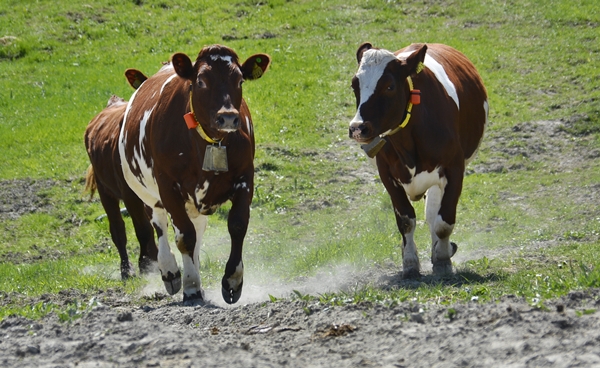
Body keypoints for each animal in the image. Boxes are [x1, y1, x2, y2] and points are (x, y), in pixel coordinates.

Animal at [119, 44, 270, 304]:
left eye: (240, 80)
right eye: (201, 81)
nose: (228, 116)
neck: (209, 141)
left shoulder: (245, 177)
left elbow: (237, 224)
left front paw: (232, 281)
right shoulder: (167, 186)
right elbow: (184, 236)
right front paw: (190, 287)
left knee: (197, 232)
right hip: (148, 195)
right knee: (161, 227)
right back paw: (170, 272)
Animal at [350, 43, 490, 278]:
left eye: (389, 86)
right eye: (354, 85)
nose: (358, 128)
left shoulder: (454, 169)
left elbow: (443, 221)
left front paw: (442, 259)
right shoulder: (387, 174)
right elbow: (406, 221)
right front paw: (410, 263)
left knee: (433, 215)